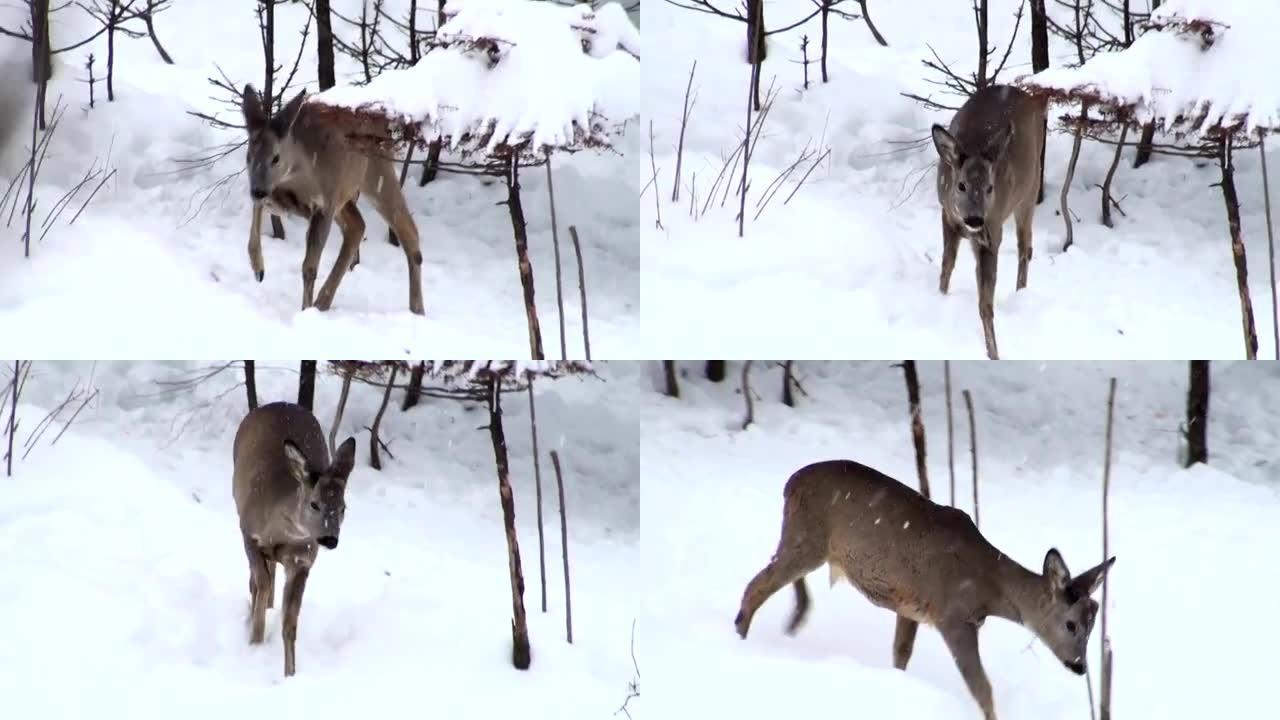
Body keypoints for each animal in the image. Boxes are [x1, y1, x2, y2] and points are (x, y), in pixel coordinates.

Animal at [231, 397, 358, 671]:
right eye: (314, 504)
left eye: (343, 508)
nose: (330, 539)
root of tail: (279, 403)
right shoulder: (248, 533)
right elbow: (261, 583)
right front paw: (255, 642)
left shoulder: (302, 560)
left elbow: (290, 622)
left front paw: (290, 673)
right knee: (257, 580)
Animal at [235, 82, 424, 312]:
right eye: (249, 155)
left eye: (276, 158)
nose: (258, 190)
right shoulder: (277, 198)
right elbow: (255, 225)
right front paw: (258, 269)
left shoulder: (325, 203)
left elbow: (309, 266)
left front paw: (305, 310)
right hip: (346, 195)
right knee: (357, 226)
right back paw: (323, 302)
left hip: (375, 174)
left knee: (407, 229)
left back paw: (417, 309)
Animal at [737, 458, 1116, 717]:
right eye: (1071, 624)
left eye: (1094, 623)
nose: (1080, 666)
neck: (989, 590)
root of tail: (790, 482)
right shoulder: (952, 616)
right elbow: (982, 687)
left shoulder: (910, 606)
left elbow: (900, 655)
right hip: (807, 538)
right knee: (757, 584)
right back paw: (741, 638)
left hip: (804, 540)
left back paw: (793, 618)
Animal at [931, 85, 1049, 358]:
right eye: (961, 185)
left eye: (990, 187)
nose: (975, 218)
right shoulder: (947, 216)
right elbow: (946, 268)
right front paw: (940, 299)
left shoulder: (992, 232)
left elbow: (985, 304)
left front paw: (993, 353)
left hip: (1029, 191)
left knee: (1025, 247)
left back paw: (1021, 293)